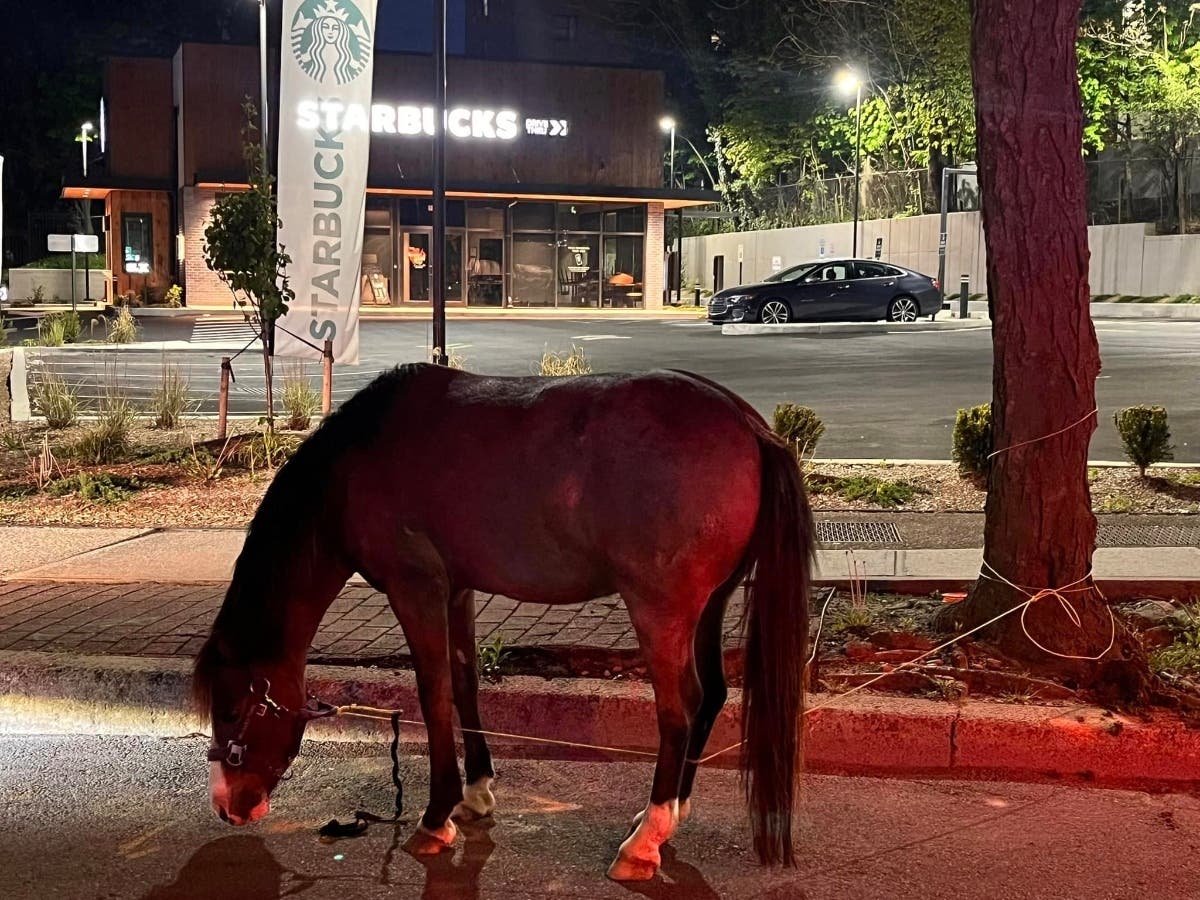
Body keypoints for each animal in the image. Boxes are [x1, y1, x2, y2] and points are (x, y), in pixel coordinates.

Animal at [194, 362, 814, 881]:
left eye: (233, 710)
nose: (226, 806)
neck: (356, 467)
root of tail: (749, 426)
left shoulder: (416, 589)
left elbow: (434, 692)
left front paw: (435, 817)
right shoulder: (457, 589)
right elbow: (465, 681)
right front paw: (475, 792)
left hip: (659, 610)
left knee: (679, 708)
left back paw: (644, 841)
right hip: (709, 605)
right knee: (712, 696)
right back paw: (668, 816)